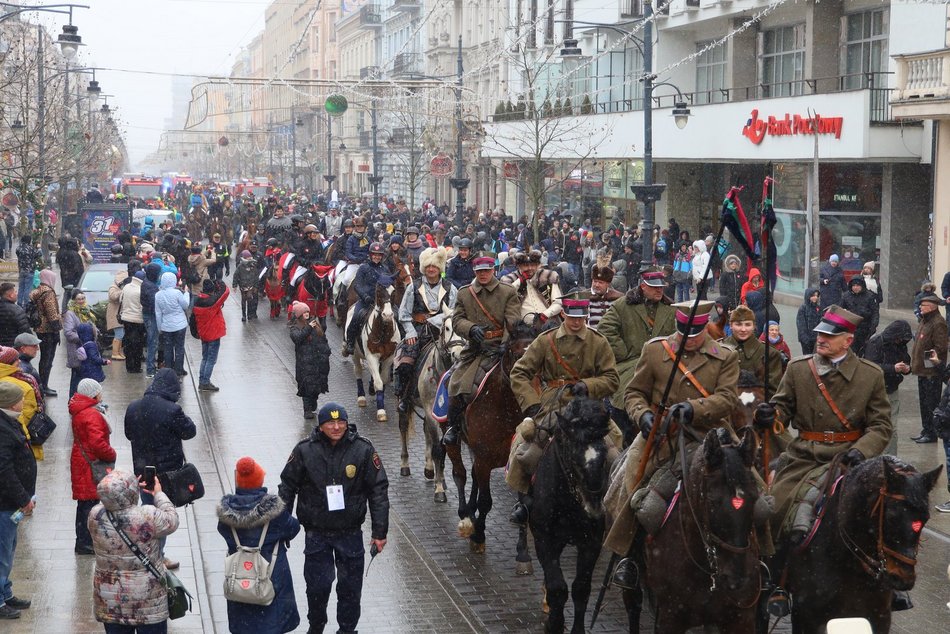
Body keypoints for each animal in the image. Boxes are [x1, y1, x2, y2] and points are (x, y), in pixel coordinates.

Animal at [352, 284, 400, 422]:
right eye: (378, 292)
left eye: (393, 292)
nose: (388, 315)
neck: (383, 332)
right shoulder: (371, 356)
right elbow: (379, 382)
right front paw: (381, 411)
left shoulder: (389, 358)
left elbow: (382, 379)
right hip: (355, 354)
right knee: (358, 371)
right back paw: (361, 398)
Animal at [396, 316, 466, 498]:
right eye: (447, 328)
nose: (458, 353)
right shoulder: (430, 411)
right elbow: (438, 450)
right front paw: (439, 490)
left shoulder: (444, 417)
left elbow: (443, 448)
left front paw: (440, 481)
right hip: (404, 403)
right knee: (403, 427)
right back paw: (404, 465)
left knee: (425, 430)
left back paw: (429, 470)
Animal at [444, 318, 540, 552]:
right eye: (516, 355)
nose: (535, 401)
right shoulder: (485, 460)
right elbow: (486, 501)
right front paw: (478, 534)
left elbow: (525, 500)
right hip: (453, 440)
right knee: (460, 474)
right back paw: (465, 516)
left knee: (473, 477)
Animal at [528, 392, 608, 628]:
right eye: (573, 455)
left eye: (604, 455)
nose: (595, 507)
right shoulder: (544, 538)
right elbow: (558, 588)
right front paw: (554, 624)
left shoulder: (592, 542)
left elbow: (581, 589)